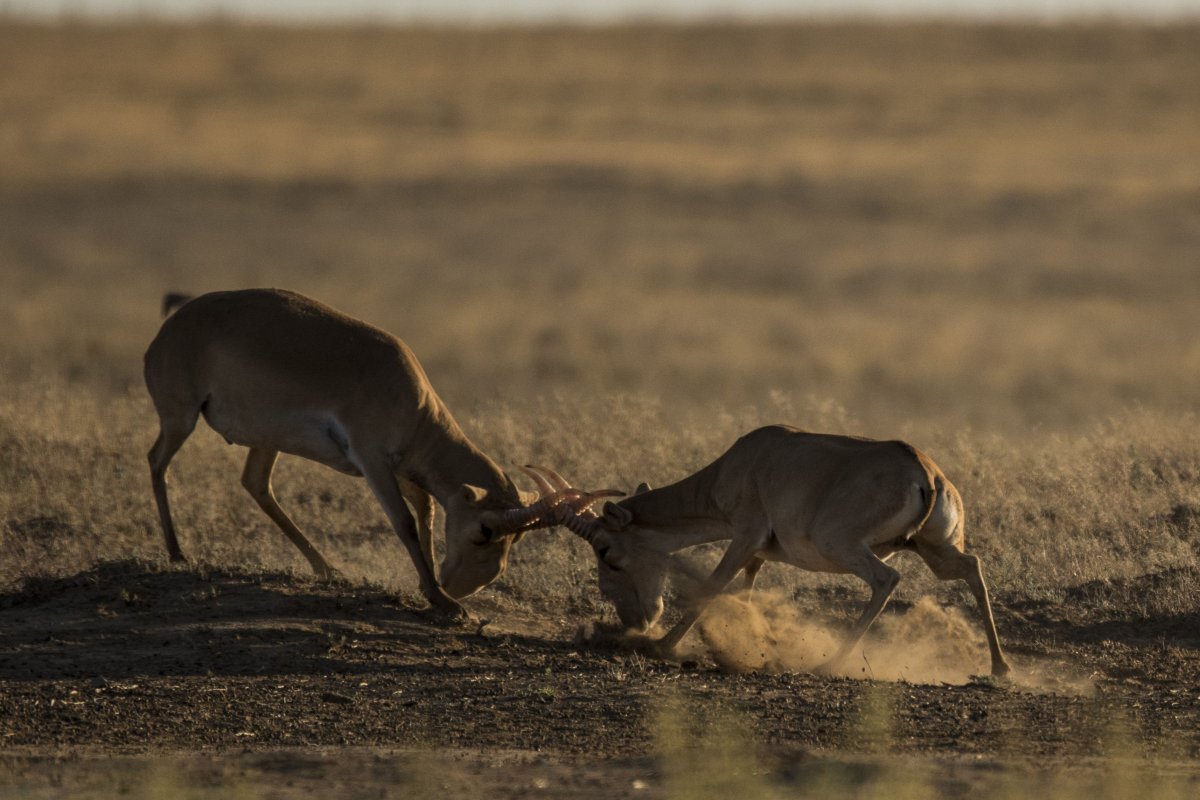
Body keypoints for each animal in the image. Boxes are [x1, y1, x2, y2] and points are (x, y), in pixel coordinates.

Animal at [146, 289, 600, 618]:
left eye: (516, 537)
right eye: (485, 530)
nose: (463, 587)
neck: (402, 387)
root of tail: (172, 324)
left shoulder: (401, 469)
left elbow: (426, 511)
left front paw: (432, 591)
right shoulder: (373, 463)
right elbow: (403, 522)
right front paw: (445, 604)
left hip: (266, 440)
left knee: (255, 484)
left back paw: (326, 568)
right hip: (182, 418)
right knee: (157, 461)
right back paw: (176, 552)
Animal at [544, 424, 1012, 676]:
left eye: (605, 550)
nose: (635, 621)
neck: (746, 459)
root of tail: (925, 472)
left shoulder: (745, 534)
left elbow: (713, 585)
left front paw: (663, 645)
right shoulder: (760, 551)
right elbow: (746, 586)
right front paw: (753, 639)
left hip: (842, 545)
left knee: (886, 578)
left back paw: (830, 663)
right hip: (934, 550)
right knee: (972, 566)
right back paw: (1000, 667)